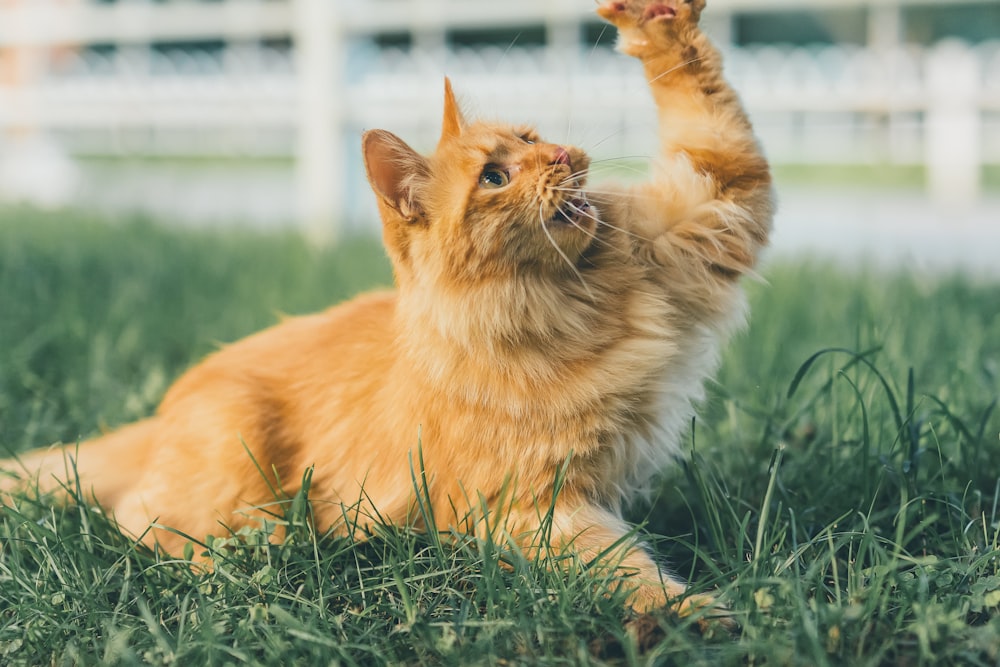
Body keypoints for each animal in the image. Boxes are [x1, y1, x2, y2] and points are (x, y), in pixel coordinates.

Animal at [0, 0, 772, 624]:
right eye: (495, 176)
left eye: (530, 137)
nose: (561, 153)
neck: (571, 300)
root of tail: (162, 412)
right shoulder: (533, 507)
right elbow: (626, 571)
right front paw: (693, 619)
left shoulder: (709, 208)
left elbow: (712, 123)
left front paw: (658, 22)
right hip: (237, 466)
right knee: (148, 527)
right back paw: (268, 561)